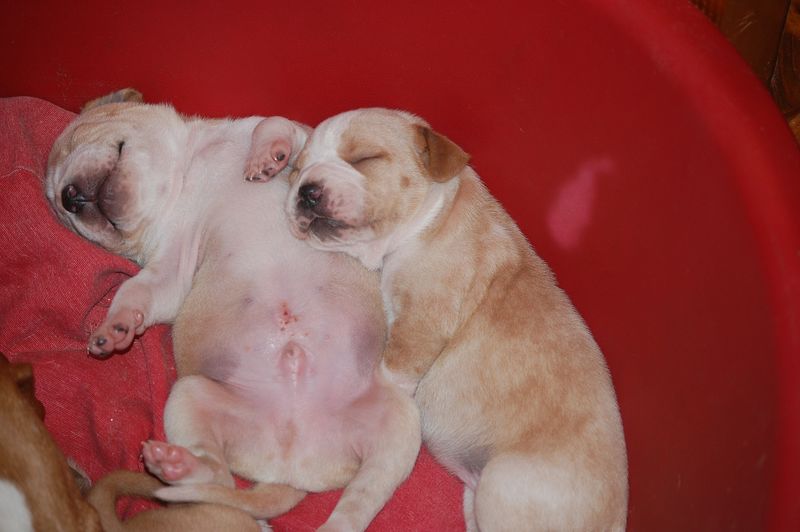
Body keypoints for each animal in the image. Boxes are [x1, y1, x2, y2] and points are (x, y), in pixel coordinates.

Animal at [45, 91, 421, 531]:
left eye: (72, 141)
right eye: (61, 212)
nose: (68, 197)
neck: (183, 178)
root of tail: (288, 468)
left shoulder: (293, 134)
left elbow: (274, 124)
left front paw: (268, 157)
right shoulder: (169, 270)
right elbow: (135, 291)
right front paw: (115, 327)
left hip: (401, 426)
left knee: (360, 498)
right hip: (189, 396)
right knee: (219, 476)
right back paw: (174, 464)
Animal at [276, 108, 629, 530]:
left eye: (364, 158)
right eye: (296, 170)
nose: (306, 190)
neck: (430, 219)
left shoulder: (423, 319)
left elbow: (394, 366)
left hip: (502, 483)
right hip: (474, 498)